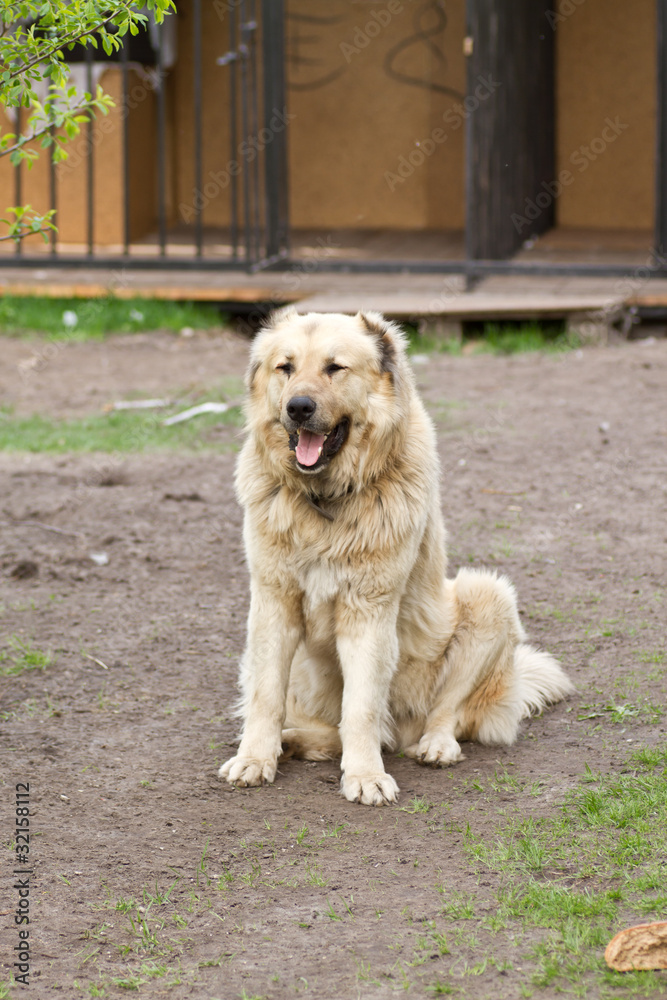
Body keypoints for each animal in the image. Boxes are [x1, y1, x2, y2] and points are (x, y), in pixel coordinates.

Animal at [219, 309, 573, 805]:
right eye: (285, 367)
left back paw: (435, 746)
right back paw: (291, 742)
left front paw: (365, 777)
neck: (327, 502)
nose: (299, 407)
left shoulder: (369, 611)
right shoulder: (273, 604)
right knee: (328, 729)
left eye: (335, 367)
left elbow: (362, 707)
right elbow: (266, 696)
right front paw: (254, 758)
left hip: (488, 597)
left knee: (443, 715)